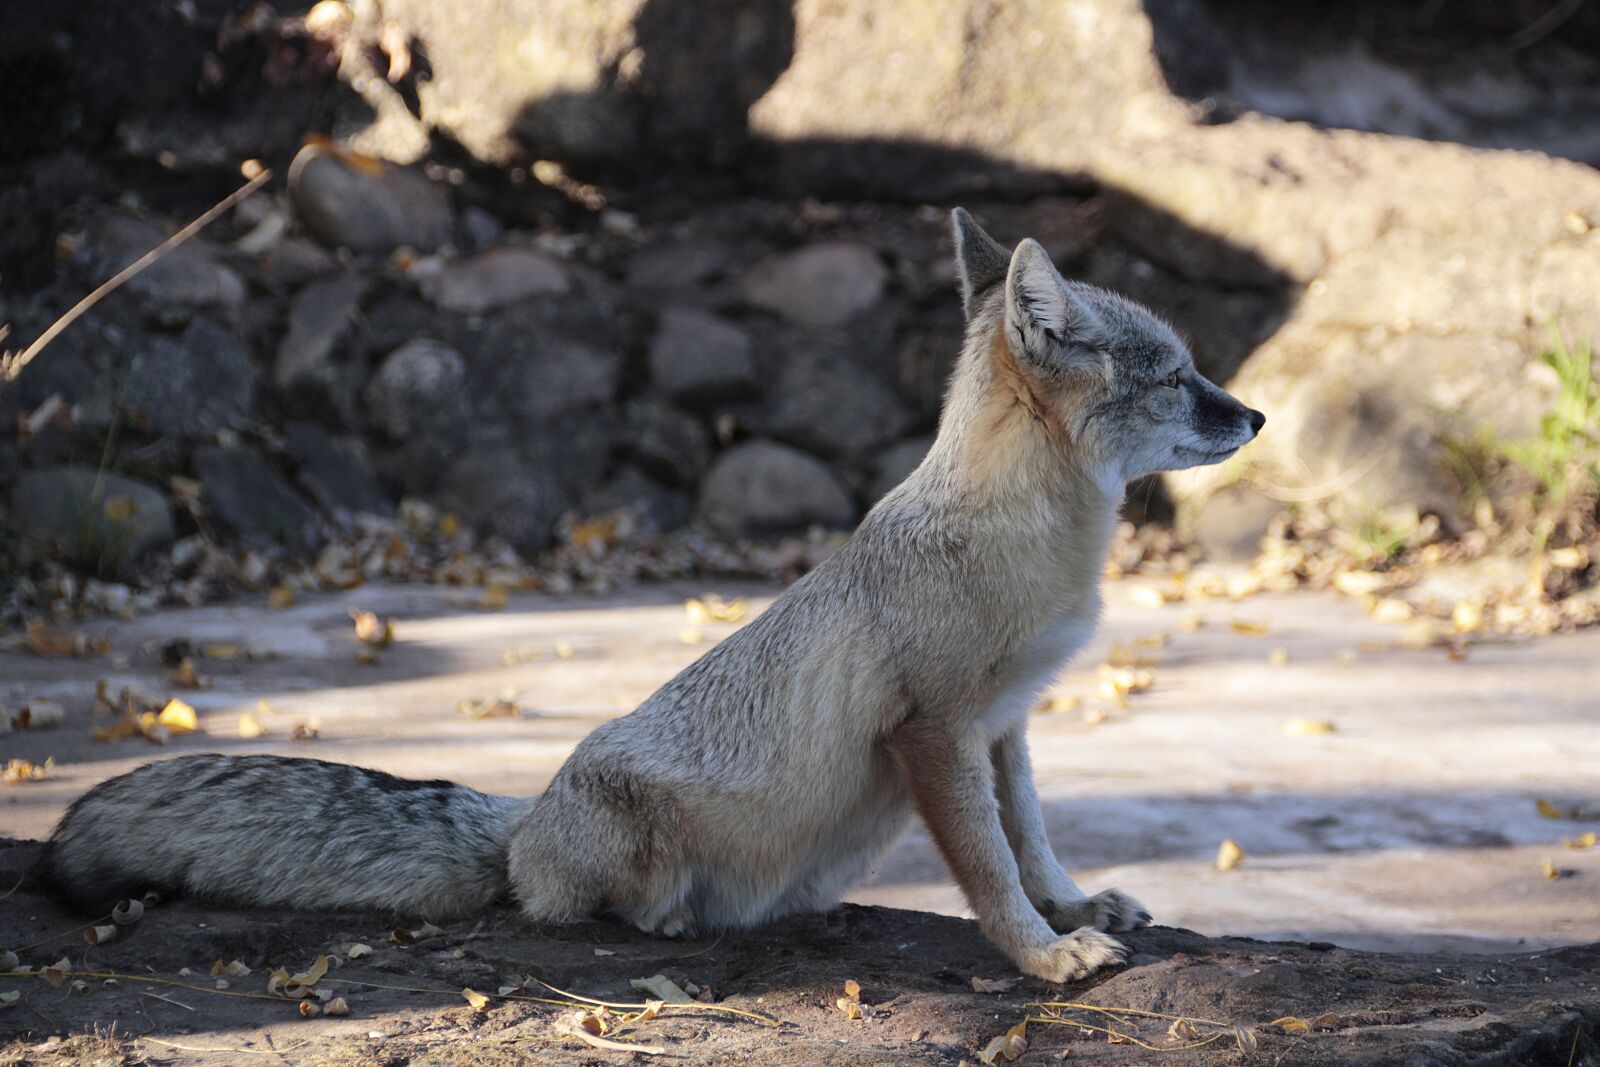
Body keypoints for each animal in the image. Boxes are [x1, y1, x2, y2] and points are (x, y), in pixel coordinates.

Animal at [39, 210, 1262, 982]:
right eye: (1175, 377)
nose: (1253, 417)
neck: (1018, 535)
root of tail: (525, 816)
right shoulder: (936, 731)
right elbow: (988, 865)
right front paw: (1041, 953)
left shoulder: (1005, 726)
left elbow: (1033, 836)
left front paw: (1072, 905)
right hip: (636, 850)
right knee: (563, 904)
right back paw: (666, 914)